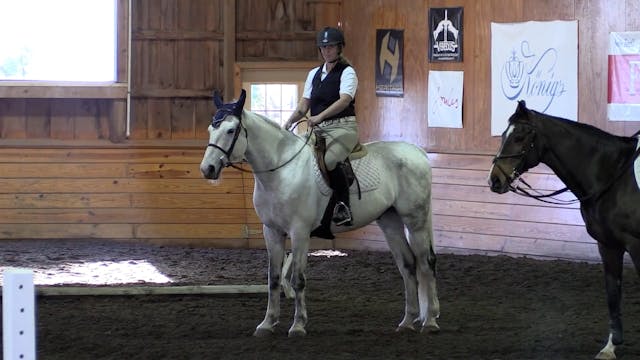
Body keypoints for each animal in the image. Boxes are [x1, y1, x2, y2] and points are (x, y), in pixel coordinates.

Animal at [200, 90, 440, 338]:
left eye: (230, 130)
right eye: (210, 129)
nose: (207, 169)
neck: (281, 171)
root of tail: (417, 152)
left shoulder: (300, 232)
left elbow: (298, 279)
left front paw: (298, 325)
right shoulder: (272, 232)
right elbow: (273, 278)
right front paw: (267, 323)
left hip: (416, 221)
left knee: (426, 262)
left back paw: (430, 321)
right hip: (390, 221)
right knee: (408, 264)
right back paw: (407, 322)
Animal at [488, 100, 636, 358]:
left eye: (519, 136)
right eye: (504, 134)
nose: (495, 180)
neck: (614, 176)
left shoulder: (637, 244)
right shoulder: (608, 245)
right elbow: (613, 294)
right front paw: (610, 347)